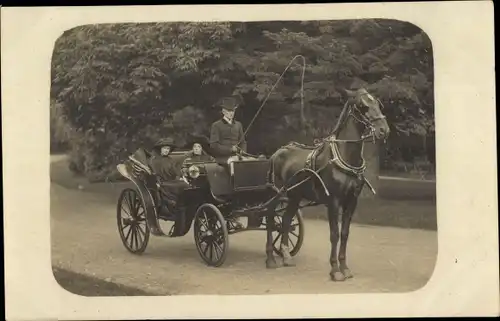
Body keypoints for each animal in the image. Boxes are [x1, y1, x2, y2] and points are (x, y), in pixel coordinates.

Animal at [266, 87, 390, 280]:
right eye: (362, 106)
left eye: (378, 103)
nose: (384, 130)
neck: (345, 158)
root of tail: (278, 152)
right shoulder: (333, 201)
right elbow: (334, 234)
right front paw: (335, 270)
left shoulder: (351, 201)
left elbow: (345, 233)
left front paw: (345, 267)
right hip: (276, 195)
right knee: (271, 219)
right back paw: (271, 258)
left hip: (294, 196)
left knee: (285, 220)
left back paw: (286, 256)